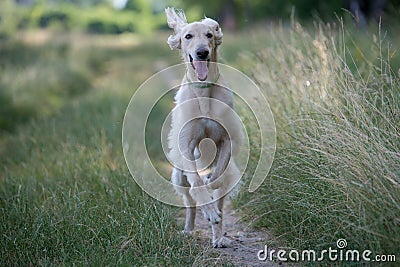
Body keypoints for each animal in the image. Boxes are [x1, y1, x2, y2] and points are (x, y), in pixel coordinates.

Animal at [166, 6, 244, 249]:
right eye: (188, 36)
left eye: (209, 34)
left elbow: (217, 176)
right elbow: (197, 184)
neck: (204, 91)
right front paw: (207, 209)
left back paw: (218, 236)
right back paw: (190, 229)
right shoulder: (186, 146)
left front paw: (211, 183)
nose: (202, 52)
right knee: (189, 200)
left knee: (220, 201)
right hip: (177, 176)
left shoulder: (226, 139)